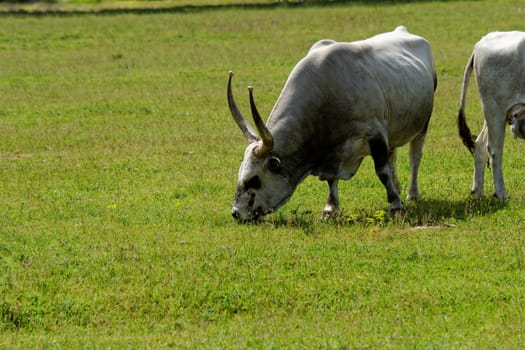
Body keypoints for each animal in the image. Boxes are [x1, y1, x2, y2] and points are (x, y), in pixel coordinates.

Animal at [454, 31, 524, 201]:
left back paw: (478, 192)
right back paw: (501, 193)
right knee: (494, 149)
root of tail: (483, 41)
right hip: (495, 111)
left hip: (492, 113)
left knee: (479, 144)